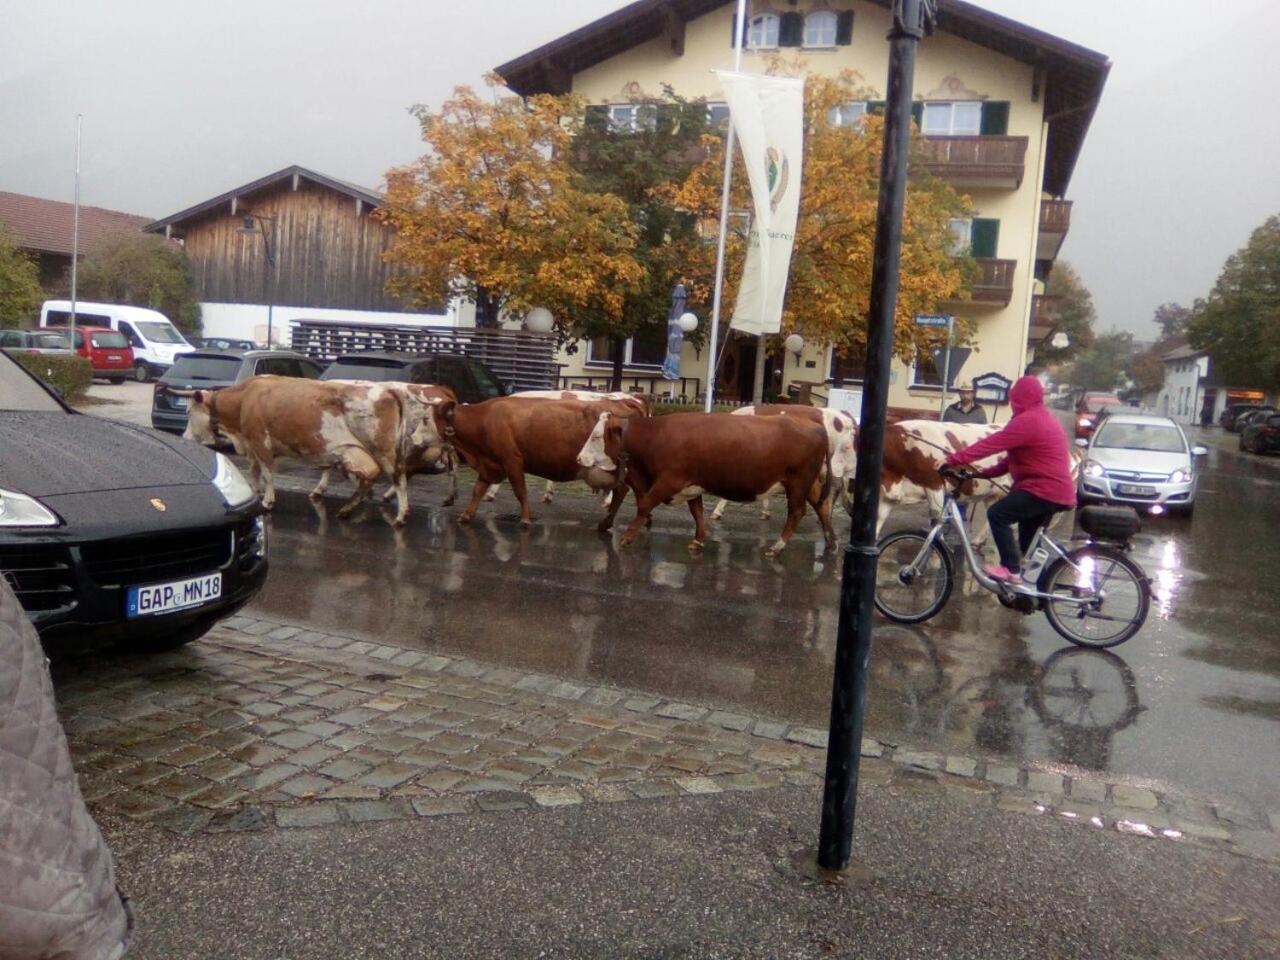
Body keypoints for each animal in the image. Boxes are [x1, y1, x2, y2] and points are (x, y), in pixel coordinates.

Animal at [180, 378, 440, 527]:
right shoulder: (252, 446)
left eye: (189, 412)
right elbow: (254, 473)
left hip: (382, 450)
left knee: (398, 478)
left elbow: (267, 473)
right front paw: (254, 493)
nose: (184, 438)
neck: (244, 400)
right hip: (358, 452)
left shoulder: (260, 441)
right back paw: (347, 509)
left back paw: (401, 516)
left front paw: (268, 501)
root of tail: (387, 390)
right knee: (369, 478)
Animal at [435, 399, 640, 535]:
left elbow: (520, 491)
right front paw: (466, 515)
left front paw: (525, 519)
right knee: (622, 490)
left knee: (623, 490)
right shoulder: (490, 465)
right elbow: (477, 490)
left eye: (430, 419)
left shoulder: (512, 460)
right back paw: (607, 522)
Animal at [576, 412, 834, 560]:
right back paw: (831, 541)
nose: (578, 459)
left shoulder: (669, 480)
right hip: (809, 484)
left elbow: (645, 505)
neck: (656, 437)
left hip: (798, 483)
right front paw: (698, 540)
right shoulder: (693, 485)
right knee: (822, 507)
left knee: (797, 512)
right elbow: (697, 512)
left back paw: (778, 546)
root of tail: (816, 425)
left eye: (597, 437)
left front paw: (628, 537)